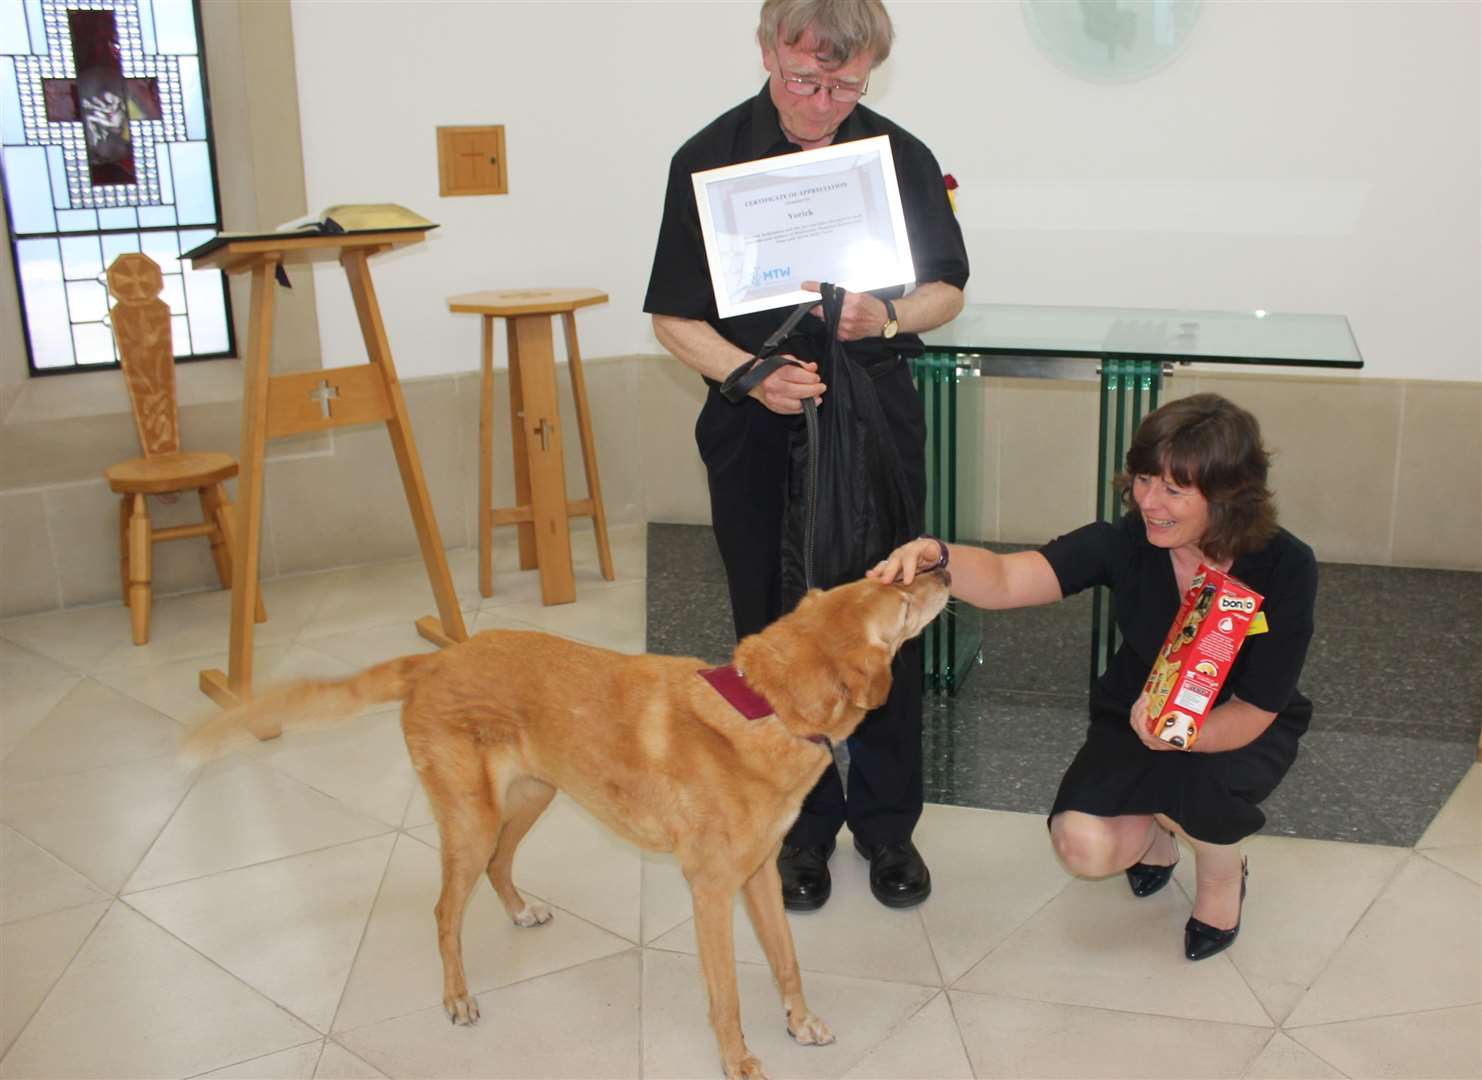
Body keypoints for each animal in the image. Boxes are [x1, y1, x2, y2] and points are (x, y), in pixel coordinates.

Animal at [182, 568, 948, 1072]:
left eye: (882, 576)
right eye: (901, 597)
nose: (938, 563)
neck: (762, 707)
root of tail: (433, 661)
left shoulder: (759, 873)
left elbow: (787, 960)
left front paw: (802, 1022)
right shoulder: (710, 893)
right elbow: (726, 996)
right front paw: (739, 1061)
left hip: (529, 799)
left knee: (500, 867)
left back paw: (520, 913)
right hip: (471, 821)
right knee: (444, 912)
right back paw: (457, 997)